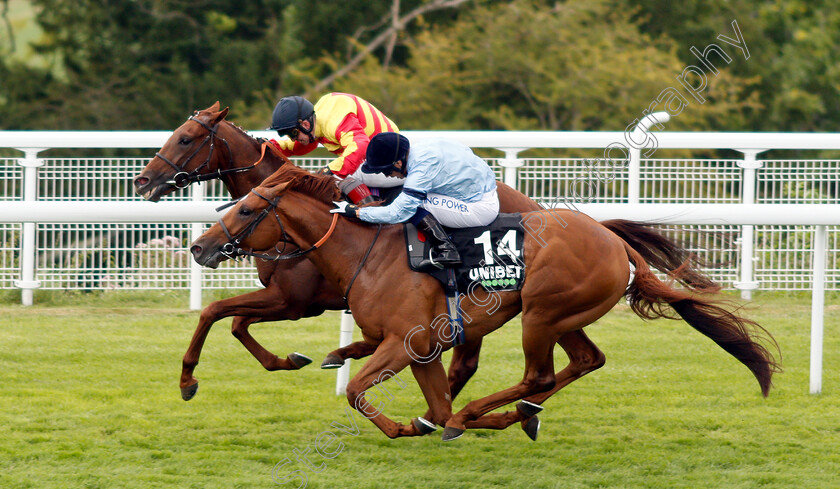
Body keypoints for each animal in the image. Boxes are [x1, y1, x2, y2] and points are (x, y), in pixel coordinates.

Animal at [190, 167, 780, 438]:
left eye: (248, 210)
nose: (199, 246)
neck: (366, 253)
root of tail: (613, 240)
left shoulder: (406, 342)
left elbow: (360, 392)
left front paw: (408, 426)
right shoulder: (422, 350)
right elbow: (430, 401)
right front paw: (427, 421)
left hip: (541, 312)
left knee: (540, 375)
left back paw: (486, 414)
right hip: (566, 316)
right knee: (584, 361)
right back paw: (510, 416)